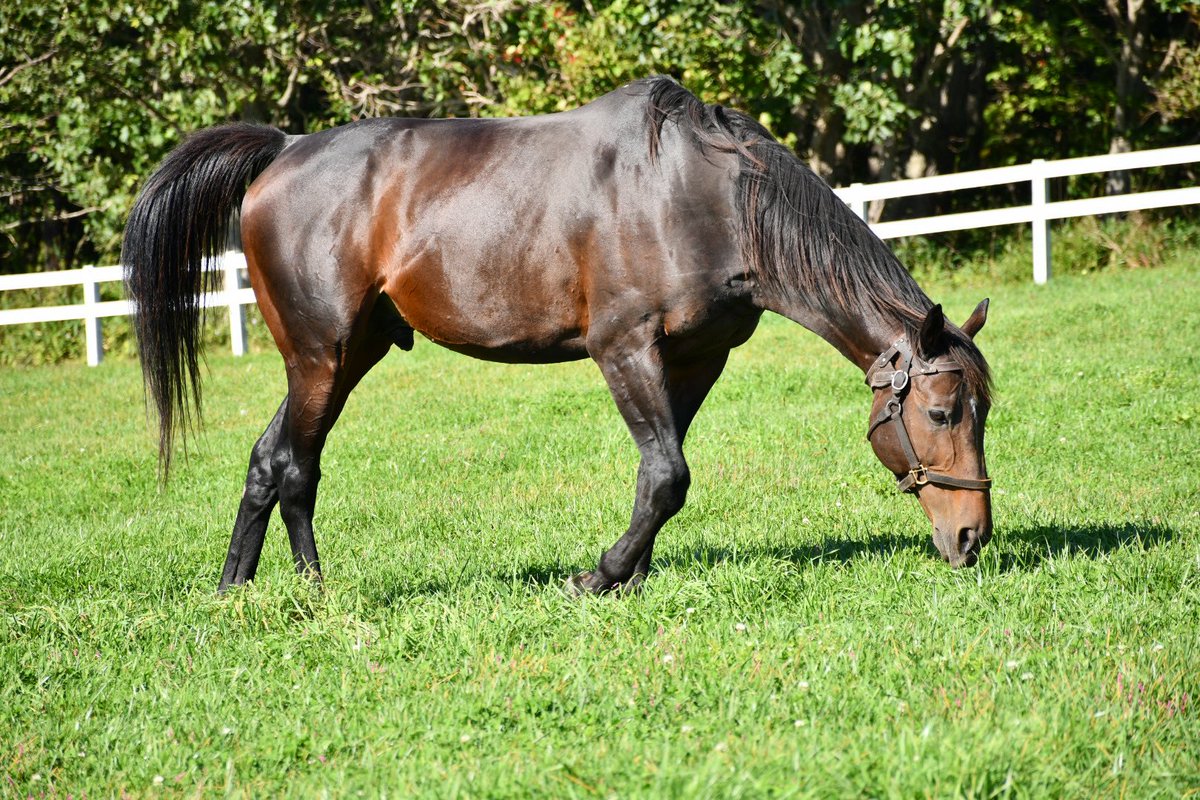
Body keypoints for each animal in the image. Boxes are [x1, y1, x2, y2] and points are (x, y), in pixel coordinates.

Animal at [122, 77, 993, 595]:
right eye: (941, 413)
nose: (972, 537)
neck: (704, 198)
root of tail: (283, 149)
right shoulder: (624, 349)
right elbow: (668, 473)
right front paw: (600, 576)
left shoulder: (697, 359)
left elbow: (661, 474)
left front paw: (632, 573)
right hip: (320, 356)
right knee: (297, 466)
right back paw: (316, 594)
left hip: (346, 354)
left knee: (270, 459)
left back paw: (237, 589)